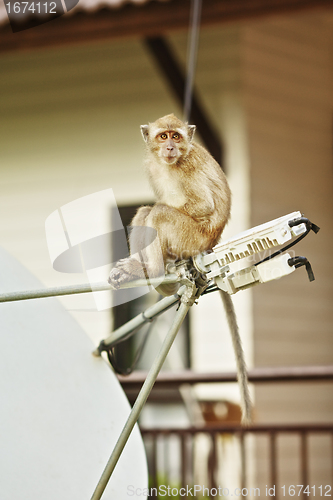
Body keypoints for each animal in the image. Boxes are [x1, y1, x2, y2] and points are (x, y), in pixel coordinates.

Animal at [109, 114, 252, 426]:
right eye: (163, 137)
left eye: (176, 136)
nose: (171, 147)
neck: (170, 164)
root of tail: (210, 244)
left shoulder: (187, 170)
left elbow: (201, 205)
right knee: (145, 212)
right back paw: (141, 267)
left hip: (191, 237)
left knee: (158, 212)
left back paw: (149, 268)